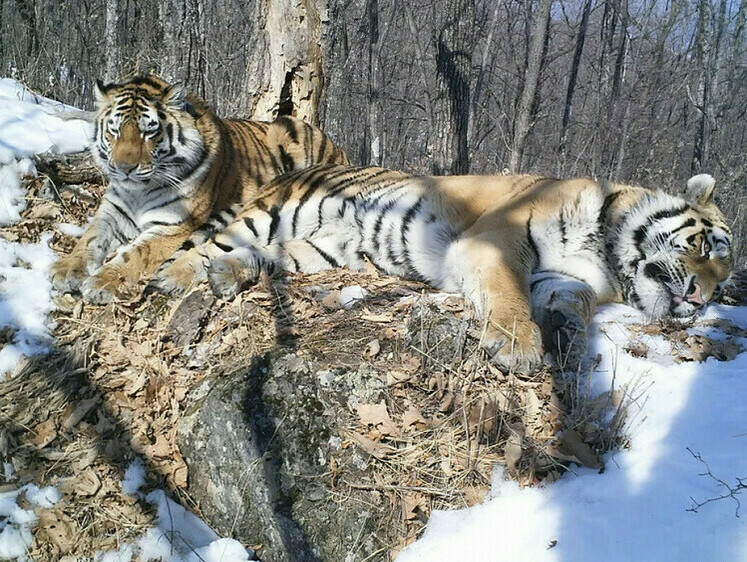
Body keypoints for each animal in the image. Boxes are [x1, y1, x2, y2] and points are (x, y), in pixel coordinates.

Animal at [50, 75, 350, 302]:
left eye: (149, 132)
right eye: (115, 131)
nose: (124, 168)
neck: (138, 191)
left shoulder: (173, 227)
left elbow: (134, 255)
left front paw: (101, 281)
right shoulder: (111, 212)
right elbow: (89, 239)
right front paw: (65, 270)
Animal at [149, 165, 732, 372]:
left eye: (725, 283)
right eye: (706, 247)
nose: (702, 299)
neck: (607, 251)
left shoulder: (566, 277)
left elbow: (574, 300)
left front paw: (566, 331)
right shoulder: (496, 240)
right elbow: (508, 294)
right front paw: (518, 347)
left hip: (320, 250)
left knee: (261, 258)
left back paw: (228, 275)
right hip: (275, 214)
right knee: (203, 245)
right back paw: (172, 279)